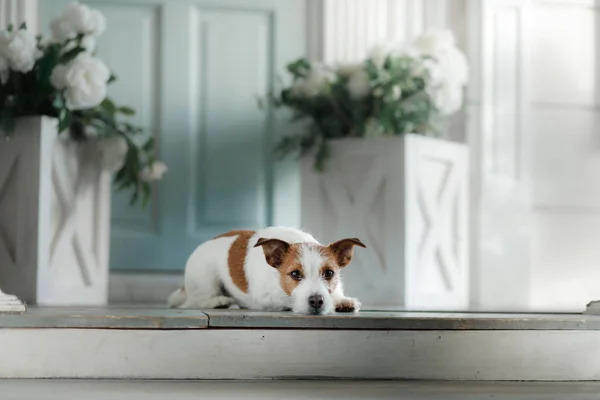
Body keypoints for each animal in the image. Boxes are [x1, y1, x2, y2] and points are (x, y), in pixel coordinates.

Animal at [168, 227, 366, 314]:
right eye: (295, 274)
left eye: (329, 273)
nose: (317, 301)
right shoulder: (264, 297)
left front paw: (341, 300)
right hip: (206, 279)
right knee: (194, 302)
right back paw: (218, 302)